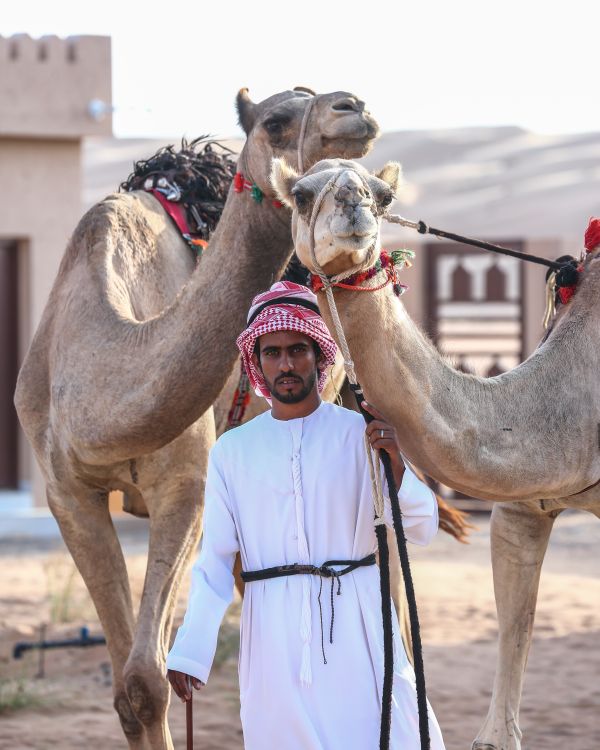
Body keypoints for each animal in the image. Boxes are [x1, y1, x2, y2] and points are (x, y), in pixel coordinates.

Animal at [14, 91, 379, 750]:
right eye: (276, 121)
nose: (353, 107)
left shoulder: (187, 485)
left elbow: (147, 679)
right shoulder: (68, 495)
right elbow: (129, 688)